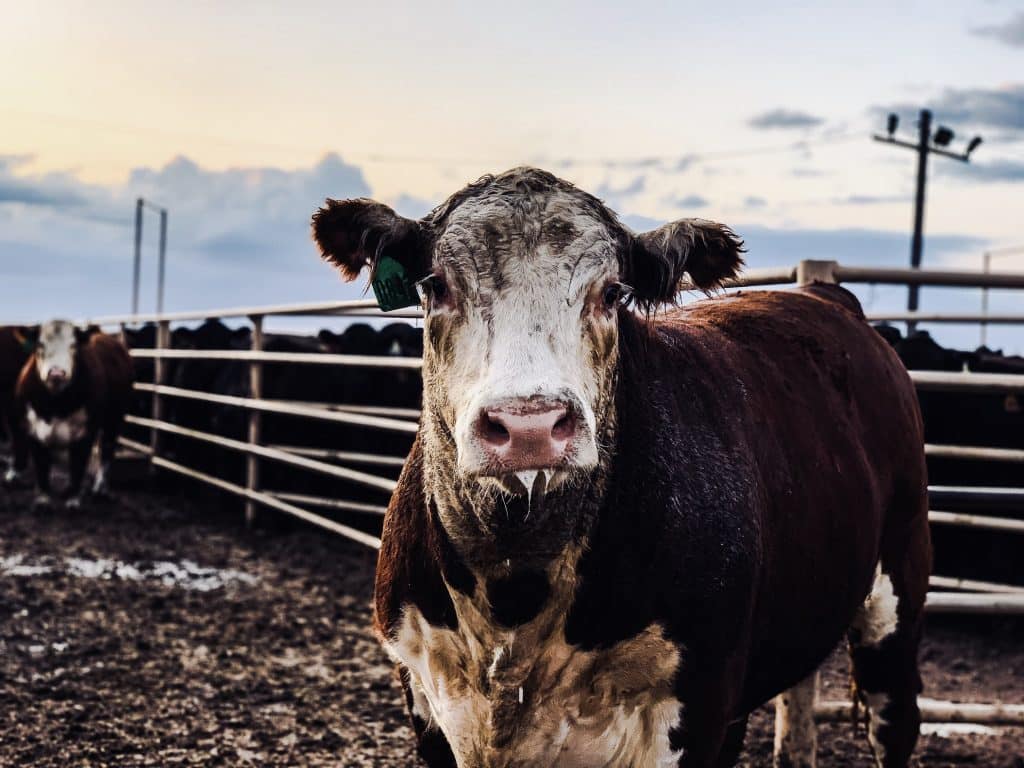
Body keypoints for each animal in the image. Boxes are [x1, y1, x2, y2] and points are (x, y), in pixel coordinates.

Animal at [14, 320, 133, 508]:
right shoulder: (31, 429)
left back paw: (100, 489)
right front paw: (43, 499)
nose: (56, 373)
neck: (55, 406)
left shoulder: (86, 432)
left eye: (74, 346)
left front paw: (73, 499)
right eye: (40, 345)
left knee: (107, 449)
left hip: (114, 418)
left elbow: (78, 463)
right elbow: (42, 465)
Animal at [311, 167, 931, 768]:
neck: (514, 598)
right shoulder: (424, 694)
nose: (529, 424)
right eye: (436, 285)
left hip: (896, 602)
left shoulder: (697, 706)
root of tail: (825, 293)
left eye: (611, 292)